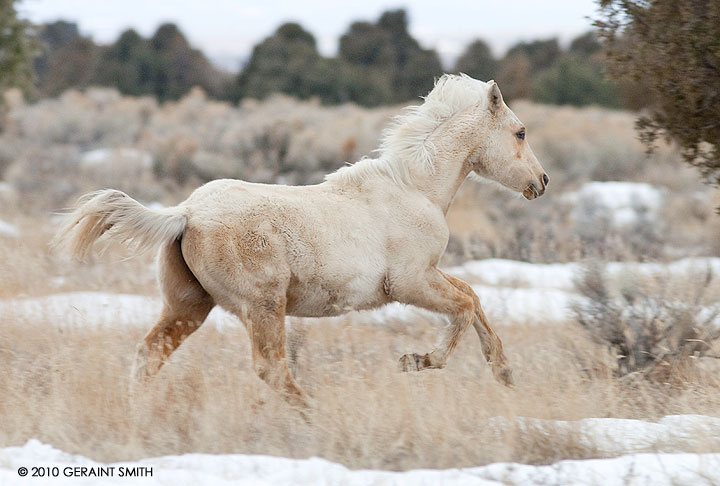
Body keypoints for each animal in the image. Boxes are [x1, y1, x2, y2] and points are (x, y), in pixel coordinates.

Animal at [53, 75, 548, 410]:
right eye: (521, 132)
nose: (541, 182)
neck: (415, 188)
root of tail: (186, 213)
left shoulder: (427, 276)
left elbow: (472, 296)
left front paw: (504, 372)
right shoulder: (410, 283)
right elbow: (462, 306)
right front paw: (416, 360)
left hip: (189, 306)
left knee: (149, 354)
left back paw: (137, 415)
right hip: (263, 306)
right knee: (271, 367)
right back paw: (319, 417)